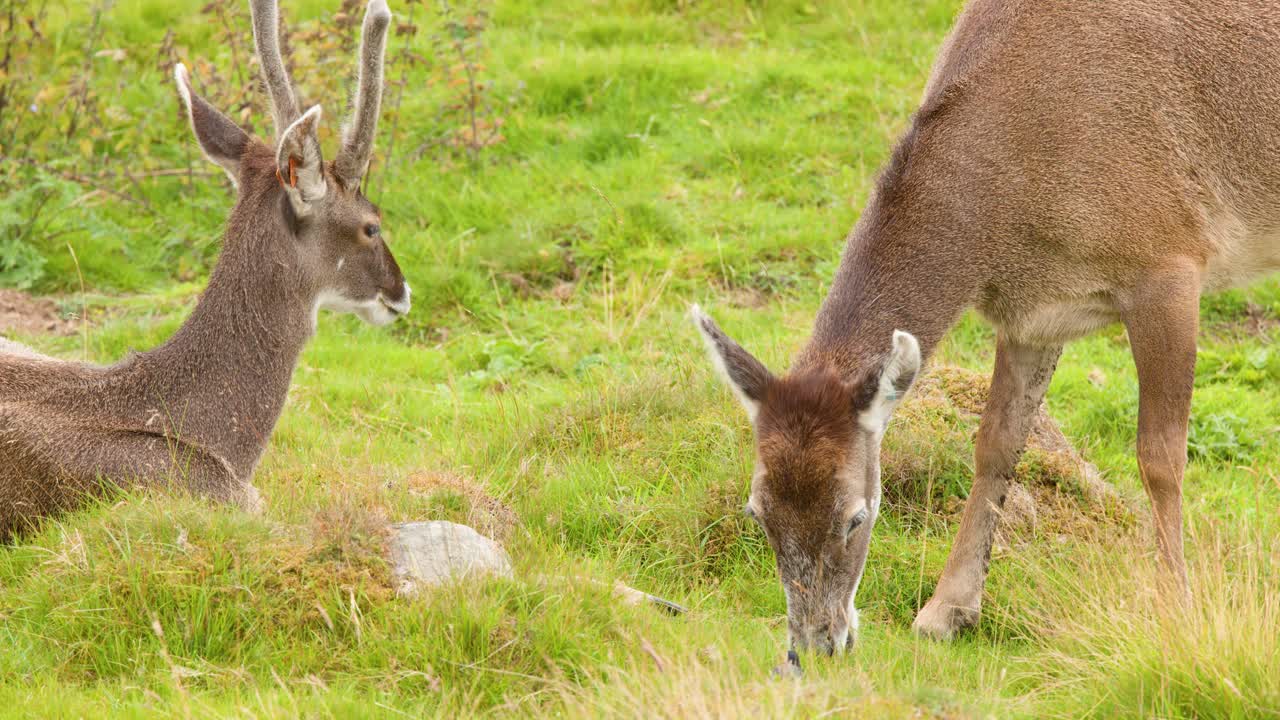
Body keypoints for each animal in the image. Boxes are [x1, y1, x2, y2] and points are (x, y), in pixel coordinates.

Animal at [694, 0, 1280, 655]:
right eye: (757, 512)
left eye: (857, 515)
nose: (818, 642)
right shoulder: (1035, 314)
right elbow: (997, 442)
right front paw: (945, 610)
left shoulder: (1170, 258)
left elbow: (1160, 457)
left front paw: (1175, 612)